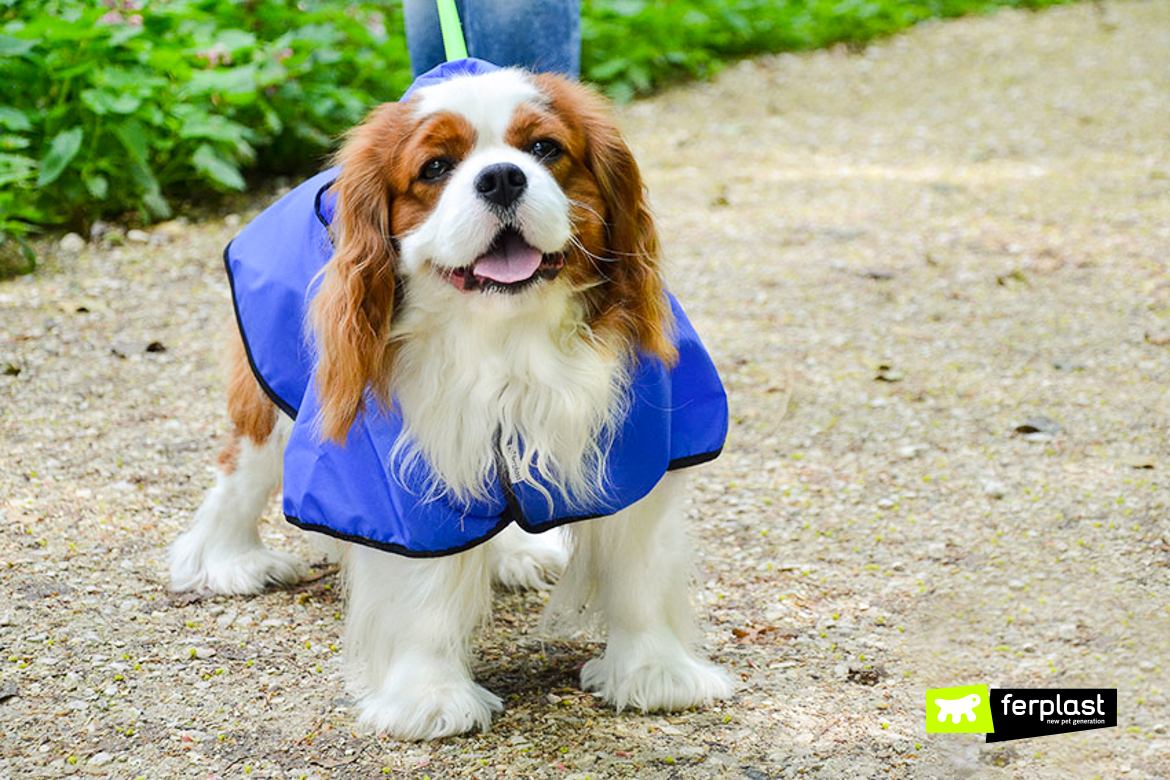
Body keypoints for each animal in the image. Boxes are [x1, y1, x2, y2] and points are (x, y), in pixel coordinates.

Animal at [170, 59, 730, 739]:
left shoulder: (638, 447)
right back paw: (225, 562)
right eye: (435, 167)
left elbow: (638, 568)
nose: (502, 176)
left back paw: (517, 552)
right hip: (274, 397)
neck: (506, 337)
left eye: (544, 149)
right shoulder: (397, 472)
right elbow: (423, 588)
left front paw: (655, 672)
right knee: (241, 473)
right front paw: (431, 699)